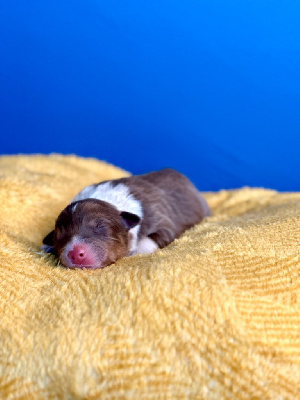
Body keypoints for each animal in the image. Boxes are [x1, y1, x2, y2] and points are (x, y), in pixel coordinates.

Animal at [42, 169, 210, 268]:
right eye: (59, 234)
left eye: (100, 226)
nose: (75, 253)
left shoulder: (162, 220)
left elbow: (148, 242)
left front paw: (136, 251)